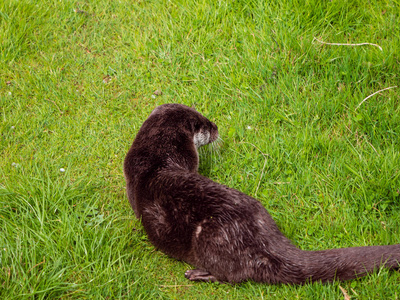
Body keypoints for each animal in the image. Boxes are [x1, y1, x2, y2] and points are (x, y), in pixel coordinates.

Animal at [123, 103, 398, 284]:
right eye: (203, 124)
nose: (216, 126)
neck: (156, 157)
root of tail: (263, 241)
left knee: (232, 277)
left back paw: (198, 273)